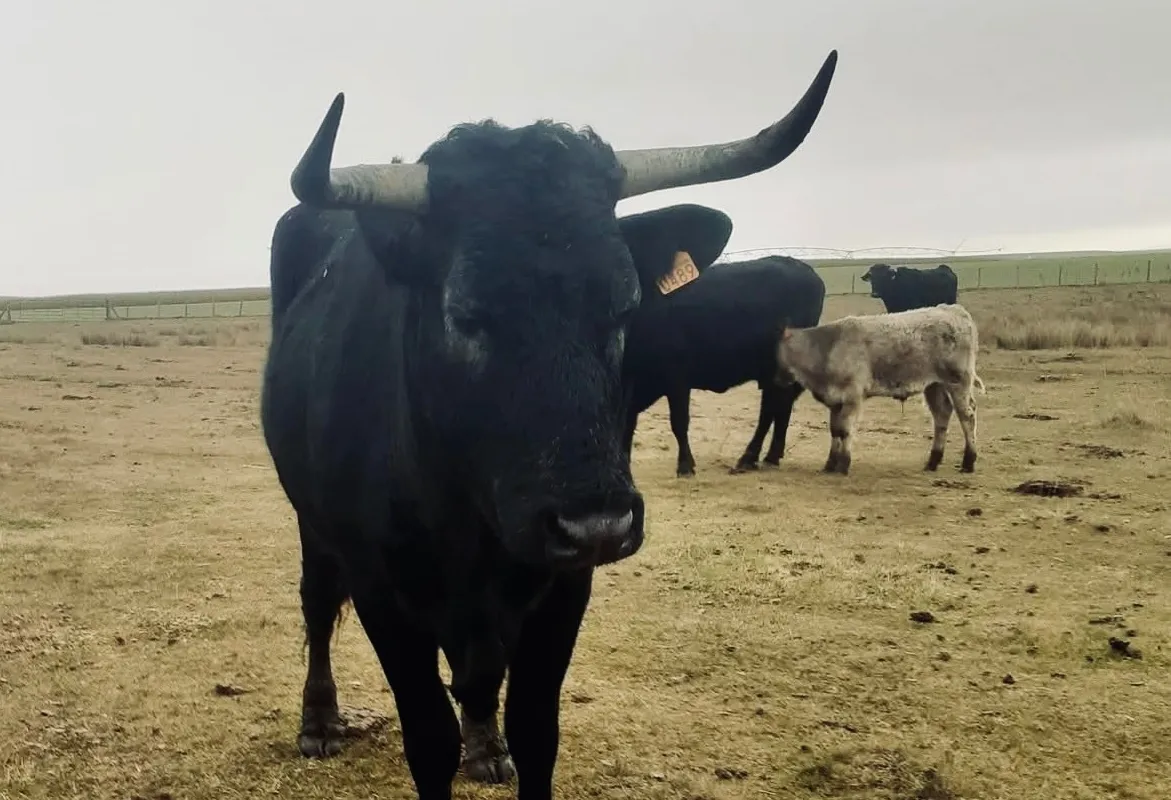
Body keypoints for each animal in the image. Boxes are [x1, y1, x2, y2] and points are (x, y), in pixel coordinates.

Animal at [615, 225, 827, 476]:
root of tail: (805, 270)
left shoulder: (676, 379)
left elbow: (679, 423)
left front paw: (685, 465)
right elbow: (628, 425)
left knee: (772, 408)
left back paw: (750, 457)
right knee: (779, 406)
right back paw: (770, 456)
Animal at [774, 303, 984, 476]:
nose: (777, 379)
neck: (828, 347)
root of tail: (954, 310)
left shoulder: (852, 398)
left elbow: (845, 430)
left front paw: (843, 464)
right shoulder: (835, 401)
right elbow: (835, 431)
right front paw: (830, 464)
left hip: (958, 382)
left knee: (967, 416)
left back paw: (968, 461)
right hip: (934, 385)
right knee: (941, 414)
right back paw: (933, 461)